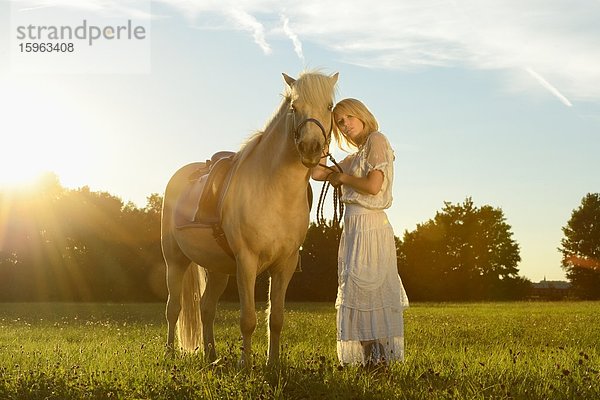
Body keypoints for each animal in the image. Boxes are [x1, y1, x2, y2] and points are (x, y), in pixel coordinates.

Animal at [161, 69, 338, 366]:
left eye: (329, 107)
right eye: (294, 107)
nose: (311, 147)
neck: (274, 191)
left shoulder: (285, 265)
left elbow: (276, 318)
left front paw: (272, 364)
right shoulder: (247, 262)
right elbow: (248, 319)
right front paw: (246, 365)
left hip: (216, 268)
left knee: (206, 308)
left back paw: (212, 356)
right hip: (175, 261)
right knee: (174, 308)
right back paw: (170, 354)